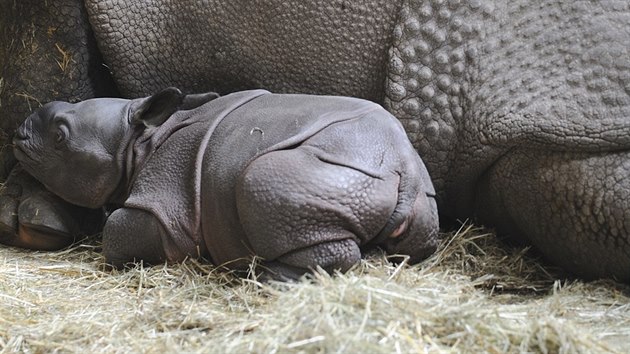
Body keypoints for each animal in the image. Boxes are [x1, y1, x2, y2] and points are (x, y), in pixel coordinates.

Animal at [13, 89, 440, 282]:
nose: (17, 134)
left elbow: (118, 232)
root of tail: (402, 170)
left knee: (262, 180)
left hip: (333, 172)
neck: (137, 143)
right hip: (415, 188)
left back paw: (260, 275)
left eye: (60, 137)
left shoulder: (164, 204)